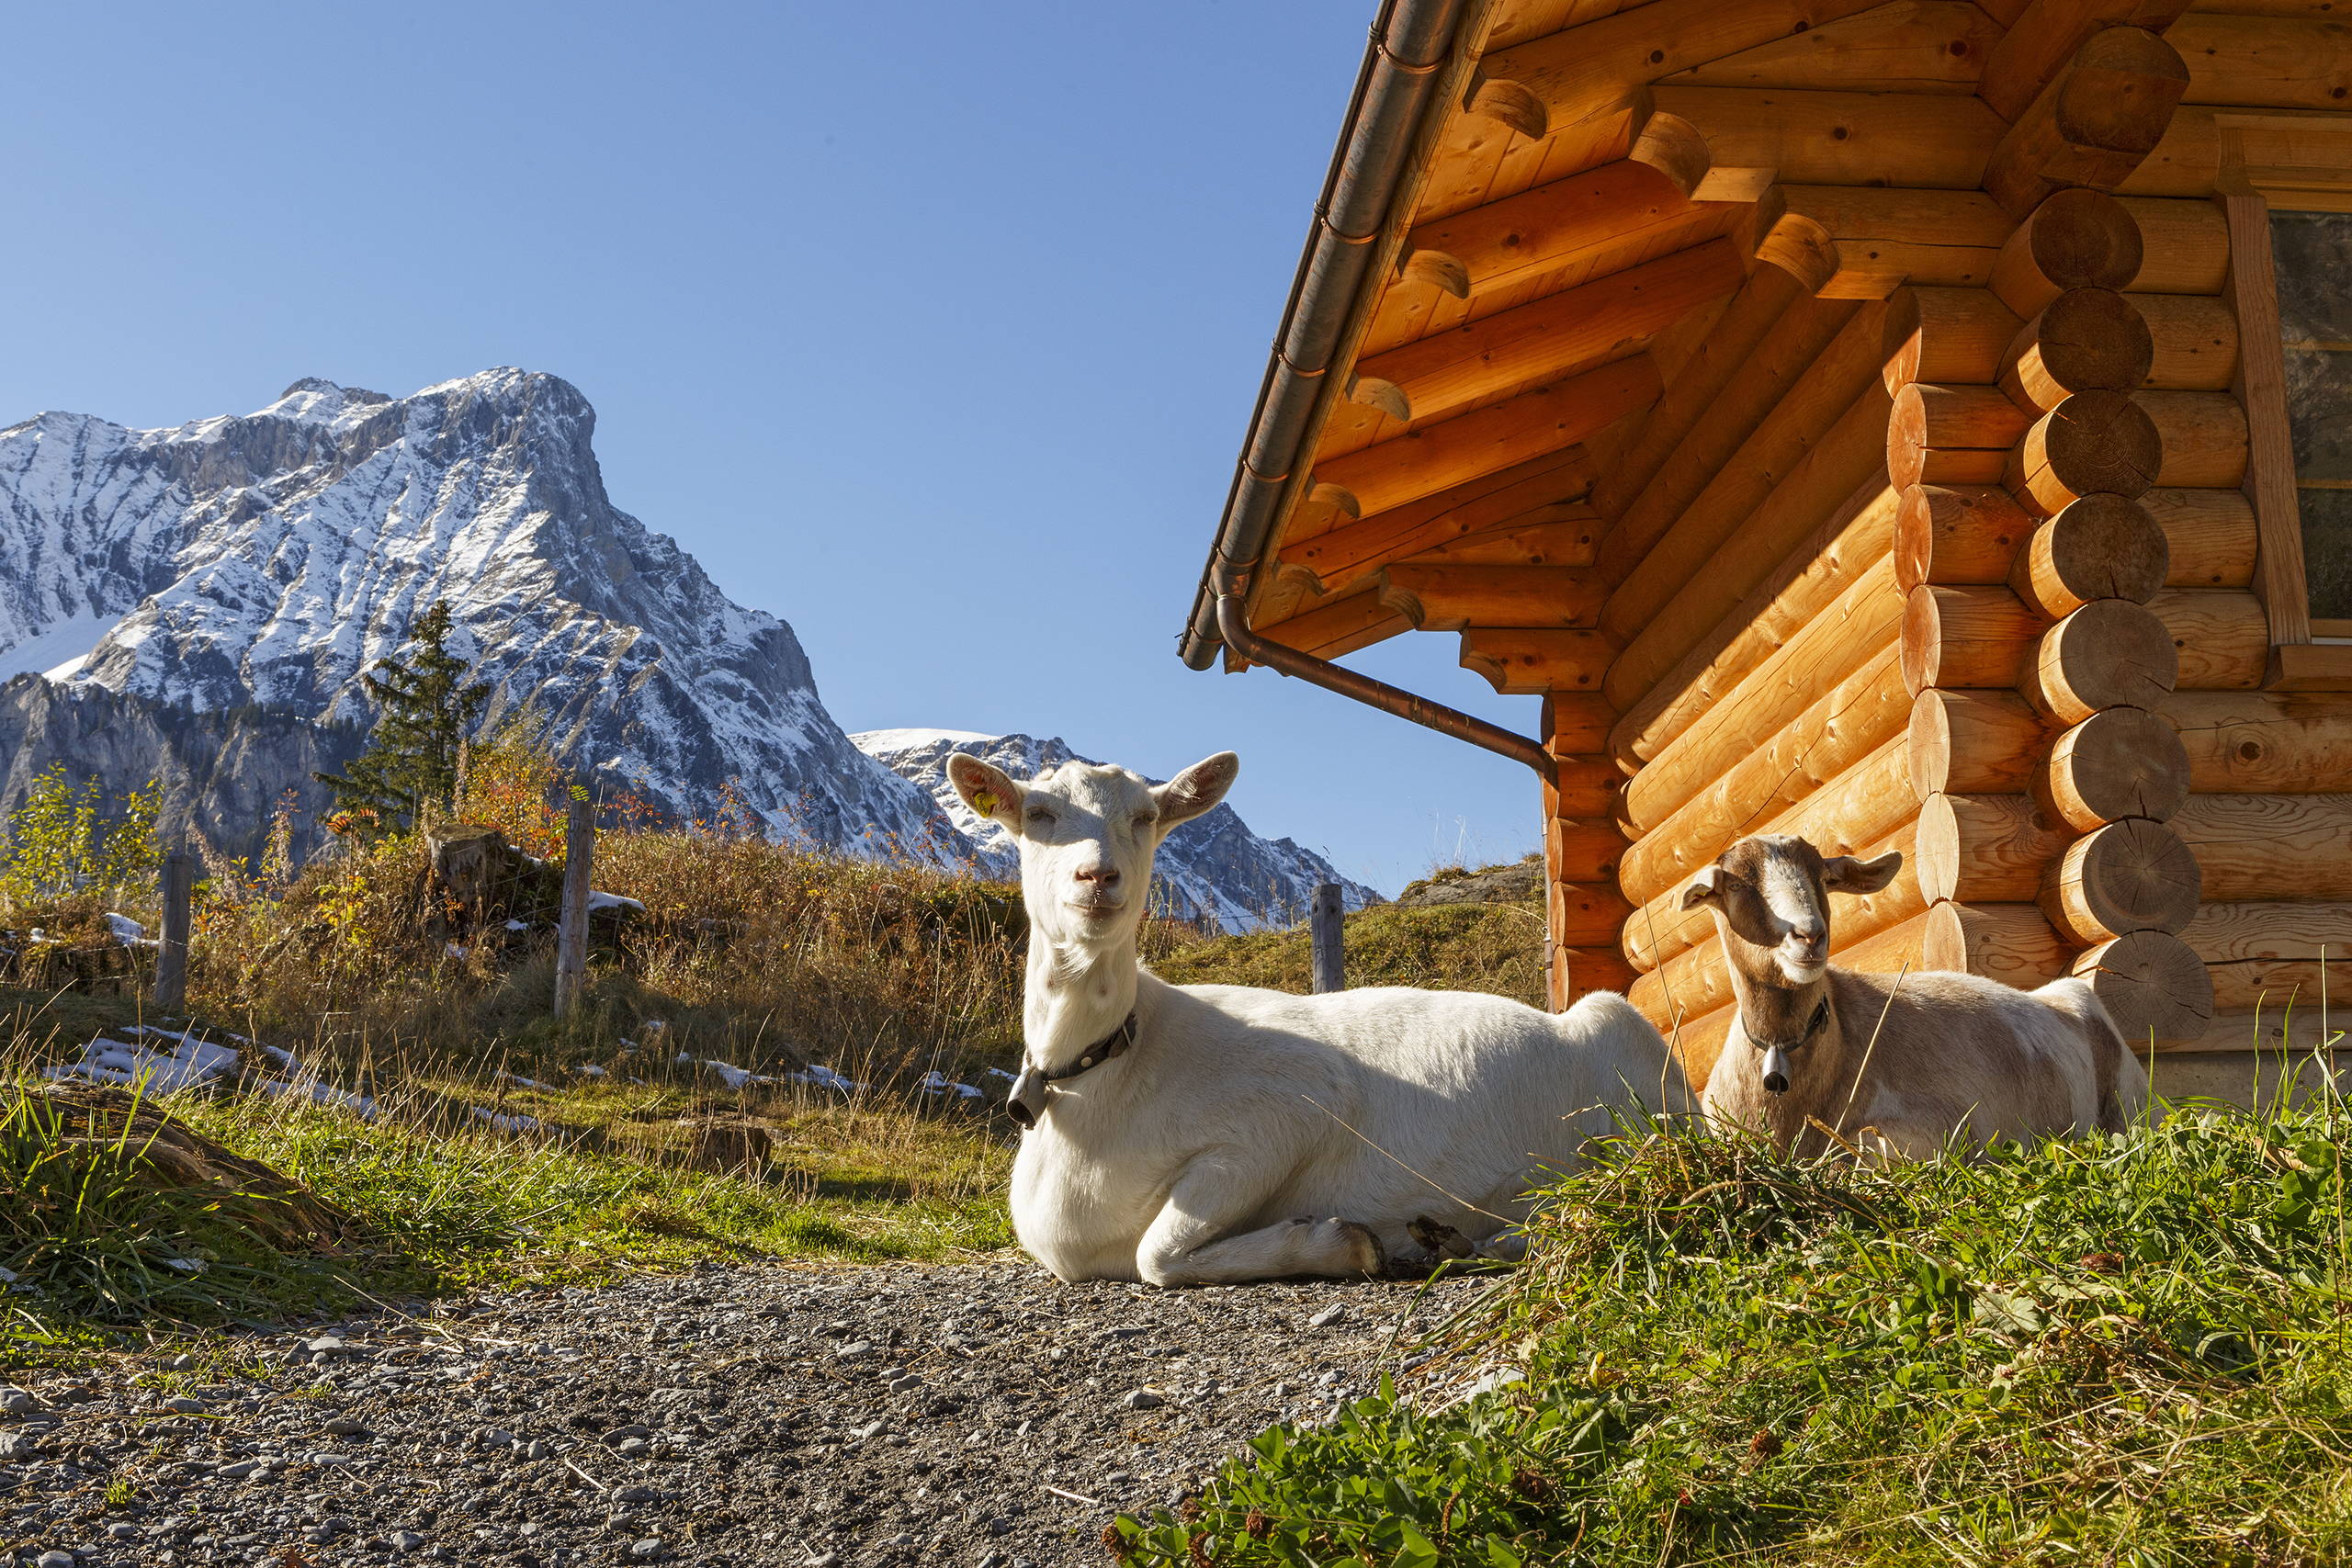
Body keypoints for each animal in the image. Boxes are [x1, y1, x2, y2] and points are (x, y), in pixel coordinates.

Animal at [945, 751, 1683, 1288]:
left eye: (1147, 815)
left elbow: (1157, 1254)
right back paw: (1452, 1238)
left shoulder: (1291, 1107)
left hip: (1627, 1053)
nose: (1098, 878)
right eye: (1039, 812)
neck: (1106, 1072)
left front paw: (1341, 1241)